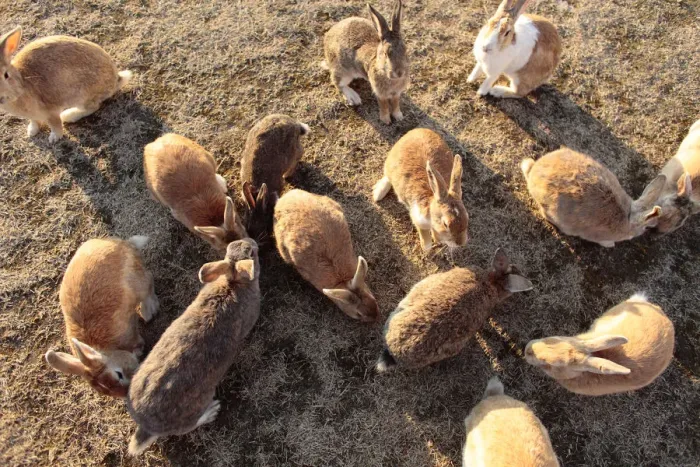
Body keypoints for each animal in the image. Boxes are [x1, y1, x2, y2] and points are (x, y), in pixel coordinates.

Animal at [0, 27, 133, 143]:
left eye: (6, 75)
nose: (1, 97)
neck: (22, 82)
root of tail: (116, 80)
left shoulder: (50, 111)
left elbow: (55, 124)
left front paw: (54, 138)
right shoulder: (33, 115)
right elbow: (34, 121)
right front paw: (31, 132)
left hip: (82, 95)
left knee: (93, 107)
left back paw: (68, 115)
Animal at [44, 236, 158, 398]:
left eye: (119, 374)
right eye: (105, 392)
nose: (127, 393)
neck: (109, 349)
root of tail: (124, 244)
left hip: (138, 283)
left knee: (149, 281)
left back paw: (148, 311)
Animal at [127, 238, 260, 456]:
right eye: (252, 254)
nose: (252, 241)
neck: (233, 285)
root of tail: (147, 427)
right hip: (197, 405)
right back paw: (211, 412)